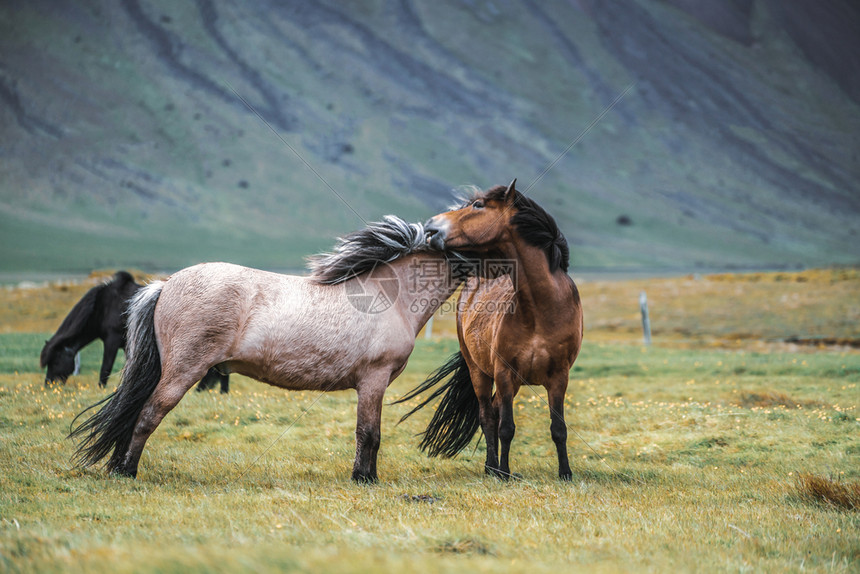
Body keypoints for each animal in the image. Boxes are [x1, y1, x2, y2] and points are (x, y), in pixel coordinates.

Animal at [70, 218, 478, 484]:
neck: (389, 295)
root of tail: (166, 285)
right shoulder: (373, 381)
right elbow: (369, 434)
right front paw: (365, 479)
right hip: (182, 372)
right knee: (147, 414)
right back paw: (127, 471)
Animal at [396, 183, 584, 482]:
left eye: (478, 205)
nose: (431, 227)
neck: (541, 310)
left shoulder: (559, 376)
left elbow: (559, 428)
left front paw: (565, 473)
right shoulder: (504, 372)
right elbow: (506, 426)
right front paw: (504, 472)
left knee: (494, 412)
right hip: (480, 372)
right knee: (488, 416)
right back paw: (491, 467)